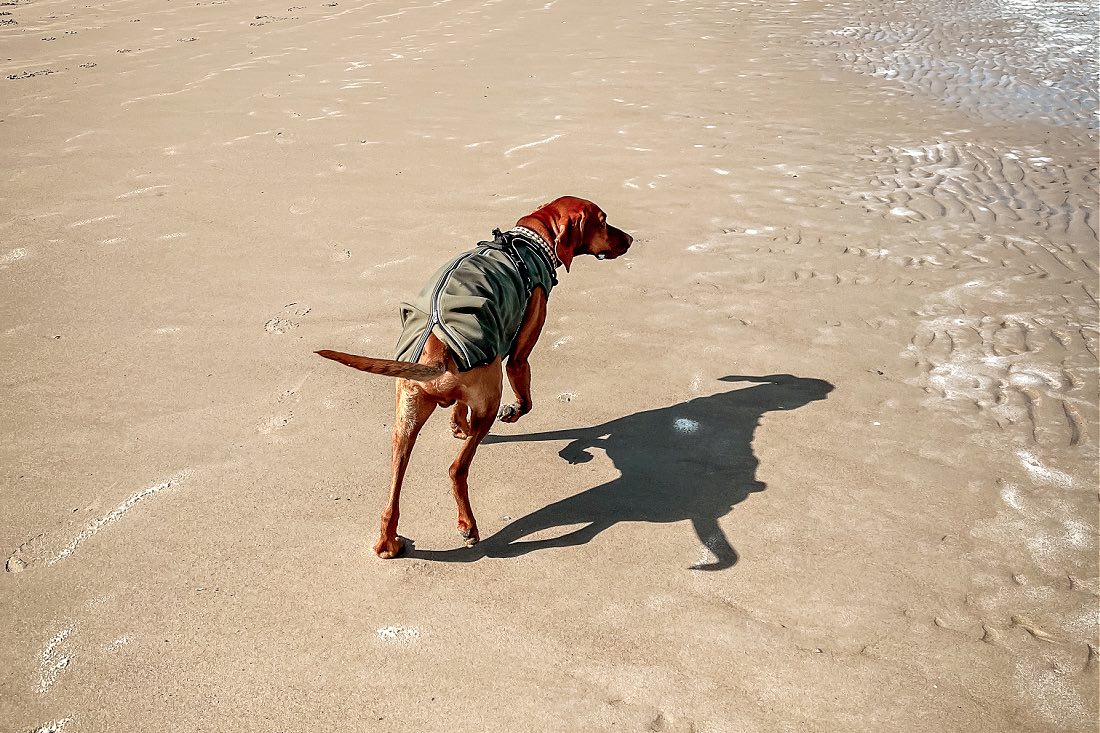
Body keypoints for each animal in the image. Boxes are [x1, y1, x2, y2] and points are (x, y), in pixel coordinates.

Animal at [314, 193, 633, 554]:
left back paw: (388, 541)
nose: (630, 239)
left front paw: (457, 425)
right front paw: (513, 414)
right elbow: (526, 402)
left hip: (406, 422)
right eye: (604, 221)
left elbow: (458, 408)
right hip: (489, 397)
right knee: (457, 469)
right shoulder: (517, 359)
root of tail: (438, 350)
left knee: (394, 485)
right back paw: (468, 526)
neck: (531, 240)